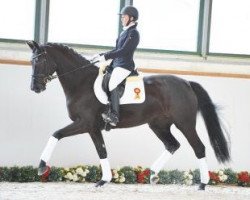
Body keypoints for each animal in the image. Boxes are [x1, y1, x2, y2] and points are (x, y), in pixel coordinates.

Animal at [26, 40, 230, 189]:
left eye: (40, 61)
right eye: (31, 62)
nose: (35, 88)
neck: (82, 82)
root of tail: (187, 83)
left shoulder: (85, 123)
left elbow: (56, 134)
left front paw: (41, 166)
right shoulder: (92, 127)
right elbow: (101, 150)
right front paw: (104, 180)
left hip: (184, 123)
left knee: (199, 148)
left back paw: (202, 184)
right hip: (159, 125)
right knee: (172, 144)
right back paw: (153, 174)